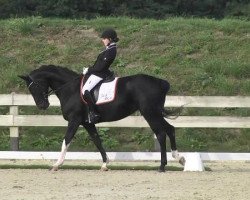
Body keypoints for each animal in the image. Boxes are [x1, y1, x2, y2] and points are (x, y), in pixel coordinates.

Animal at [19, 65, 184, 171]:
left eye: (35, 86)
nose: (42, 105)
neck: (70, 89)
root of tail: (160, 82)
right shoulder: (87, 123)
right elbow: (97, 140)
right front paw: (105, 164)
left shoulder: (74, 120)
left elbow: (66, 140)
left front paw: (56, 164)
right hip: (154, 113)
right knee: (170, 129)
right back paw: (179, 158)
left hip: (150, 113)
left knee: (161, 133)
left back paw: (162, 166)